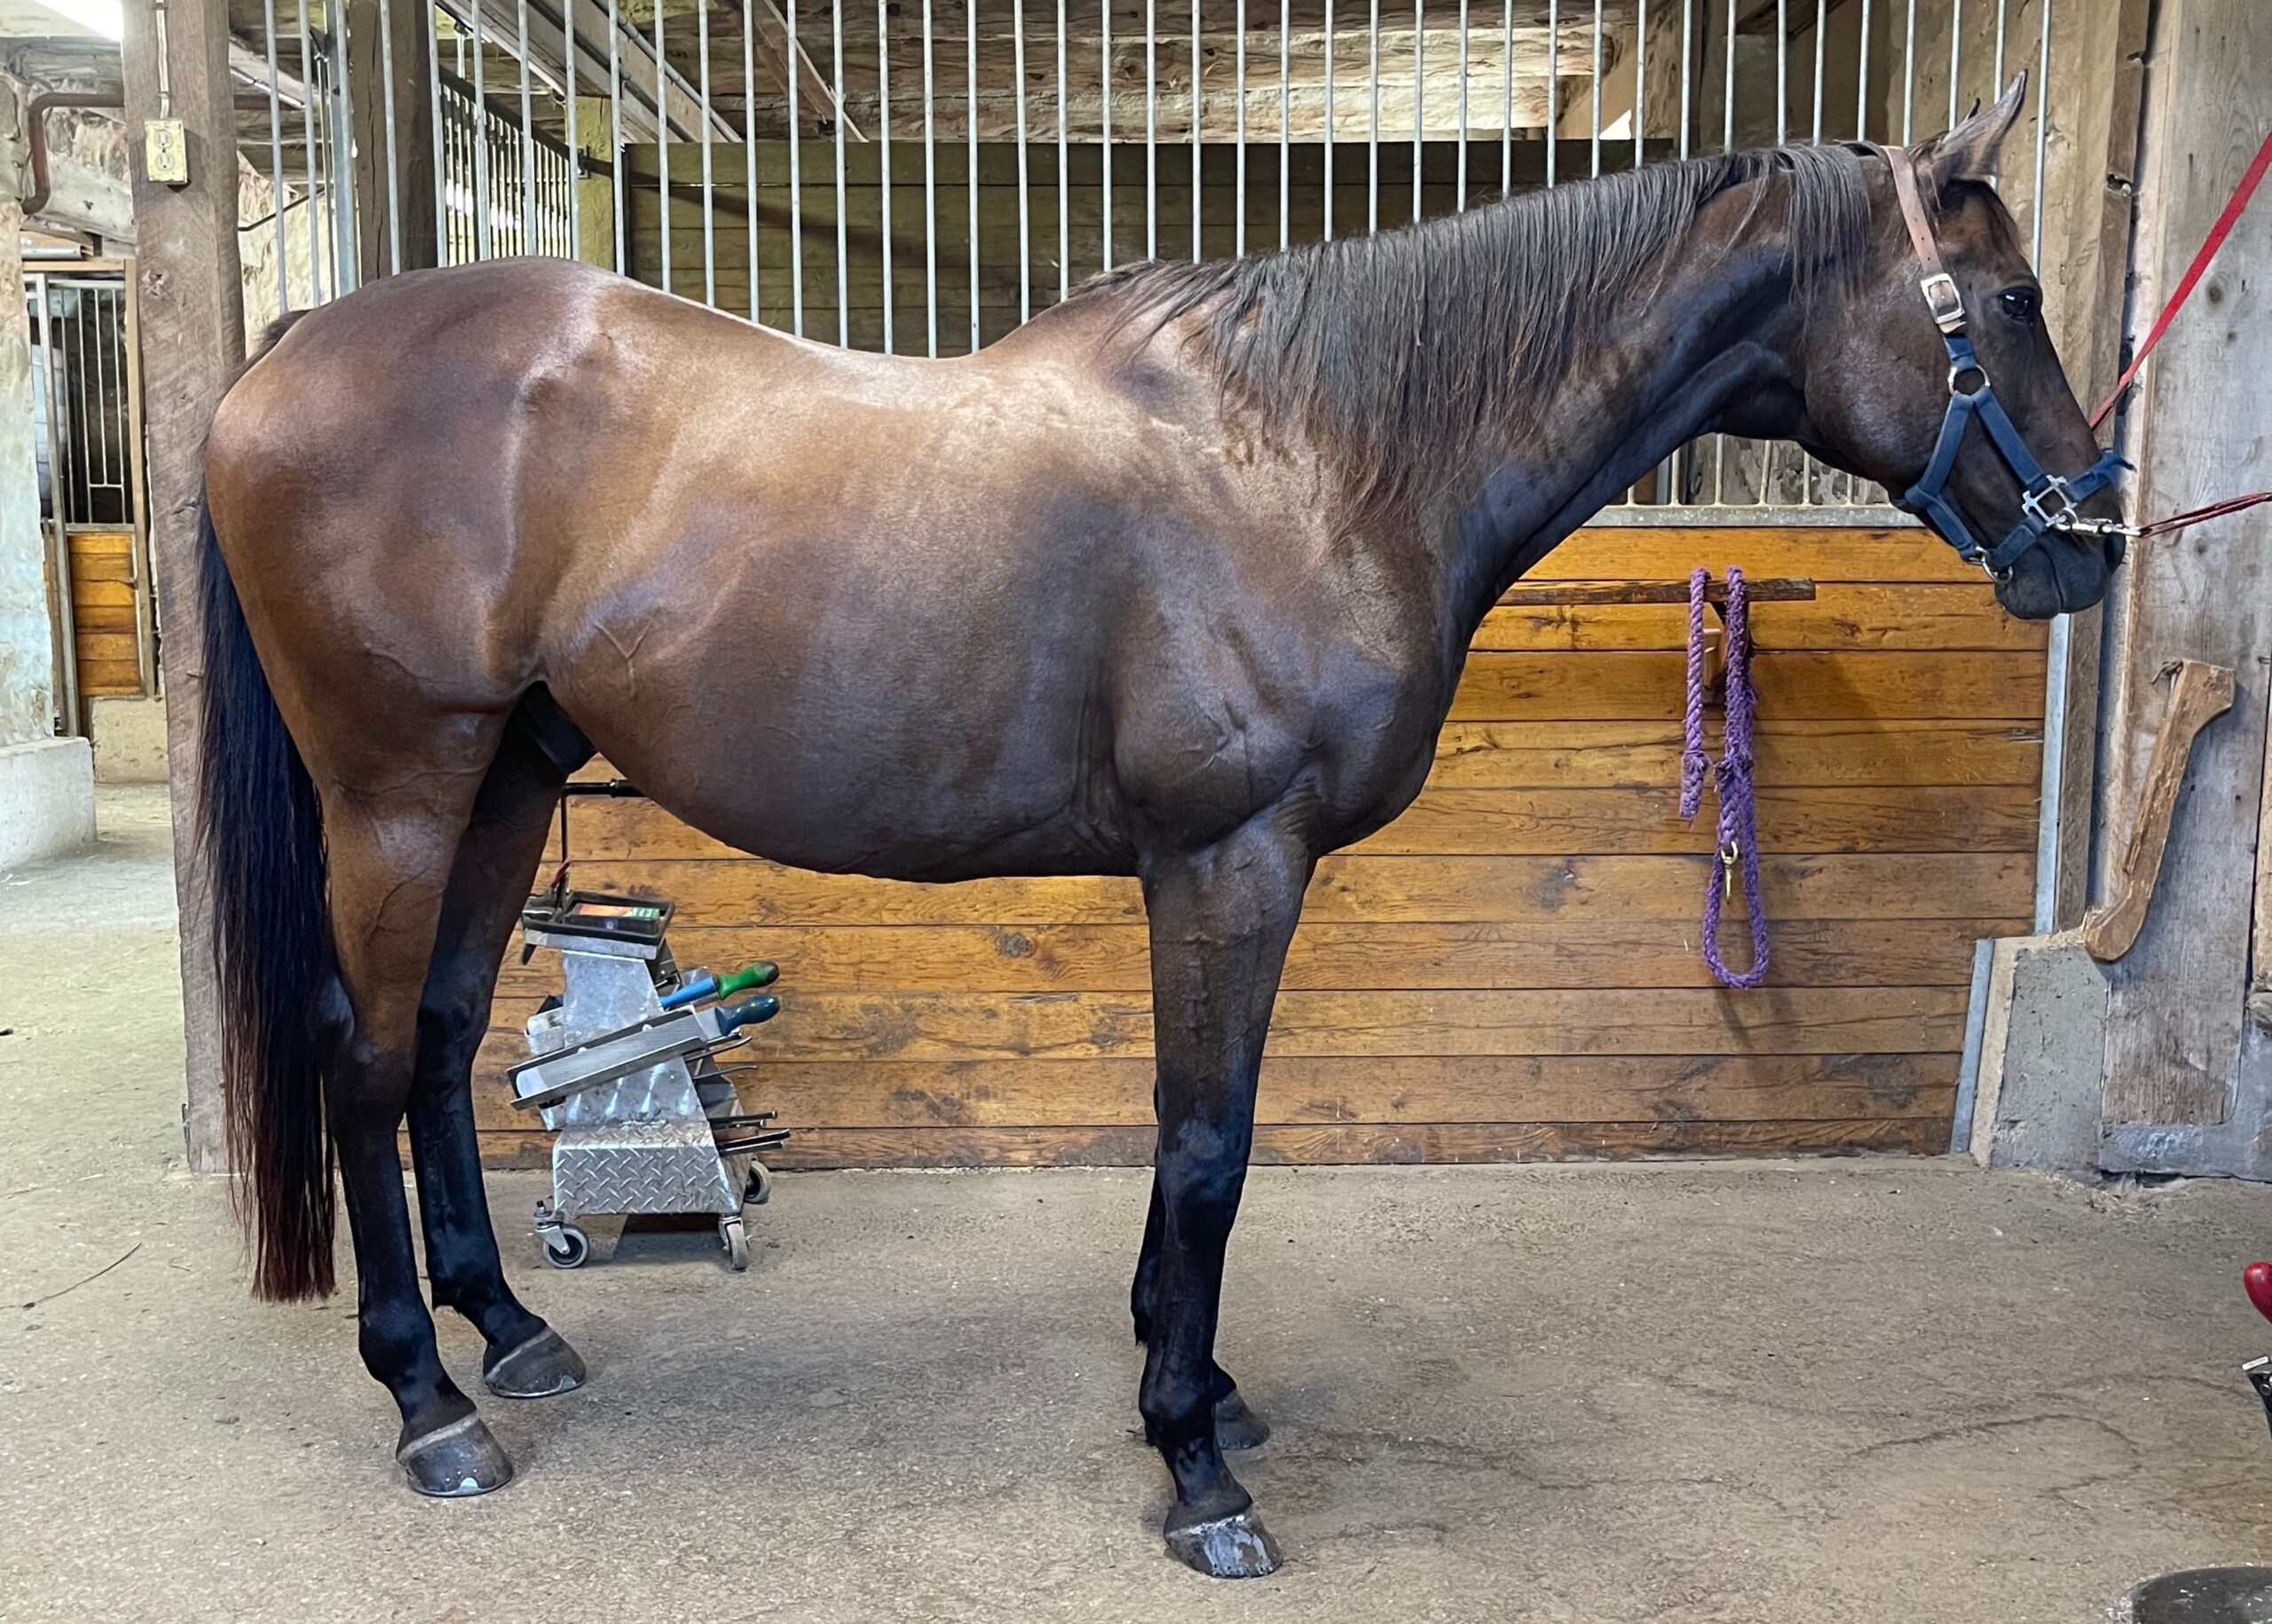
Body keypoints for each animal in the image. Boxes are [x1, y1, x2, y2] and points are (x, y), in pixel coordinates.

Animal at [195, 75, 2118, 1576]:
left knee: (449, 1039)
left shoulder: (1207, 871)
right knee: (368, 1058)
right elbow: (1208, 1145)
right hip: (399, 790)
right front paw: (1194, 1463)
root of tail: (288, 347)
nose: (2088, 545)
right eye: (2012, 298)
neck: (1320, 456)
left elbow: (1193, 1138)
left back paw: (510, 1334)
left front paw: (1194, 1395)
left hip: (510, 778)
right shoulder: (1228, 856)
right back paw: (429, 1404)